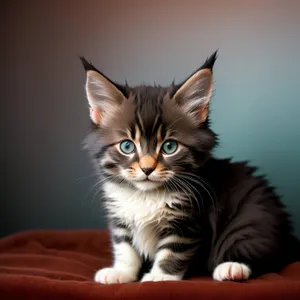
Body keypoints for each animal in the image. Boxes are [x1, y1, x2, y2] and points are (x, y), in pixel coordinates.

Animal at [79, 52, 298, 284]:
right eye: (127, 146)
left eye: (169, 147)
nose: (147, 169)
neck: (146, 196)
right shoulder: (119, 216)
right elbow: (125, 248)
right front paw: (121, 272)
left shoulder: (188, 221)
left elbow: (172, 251)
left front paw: (159, 277)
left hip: (253, 217)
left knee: (261, 253)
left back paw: (232, 267)